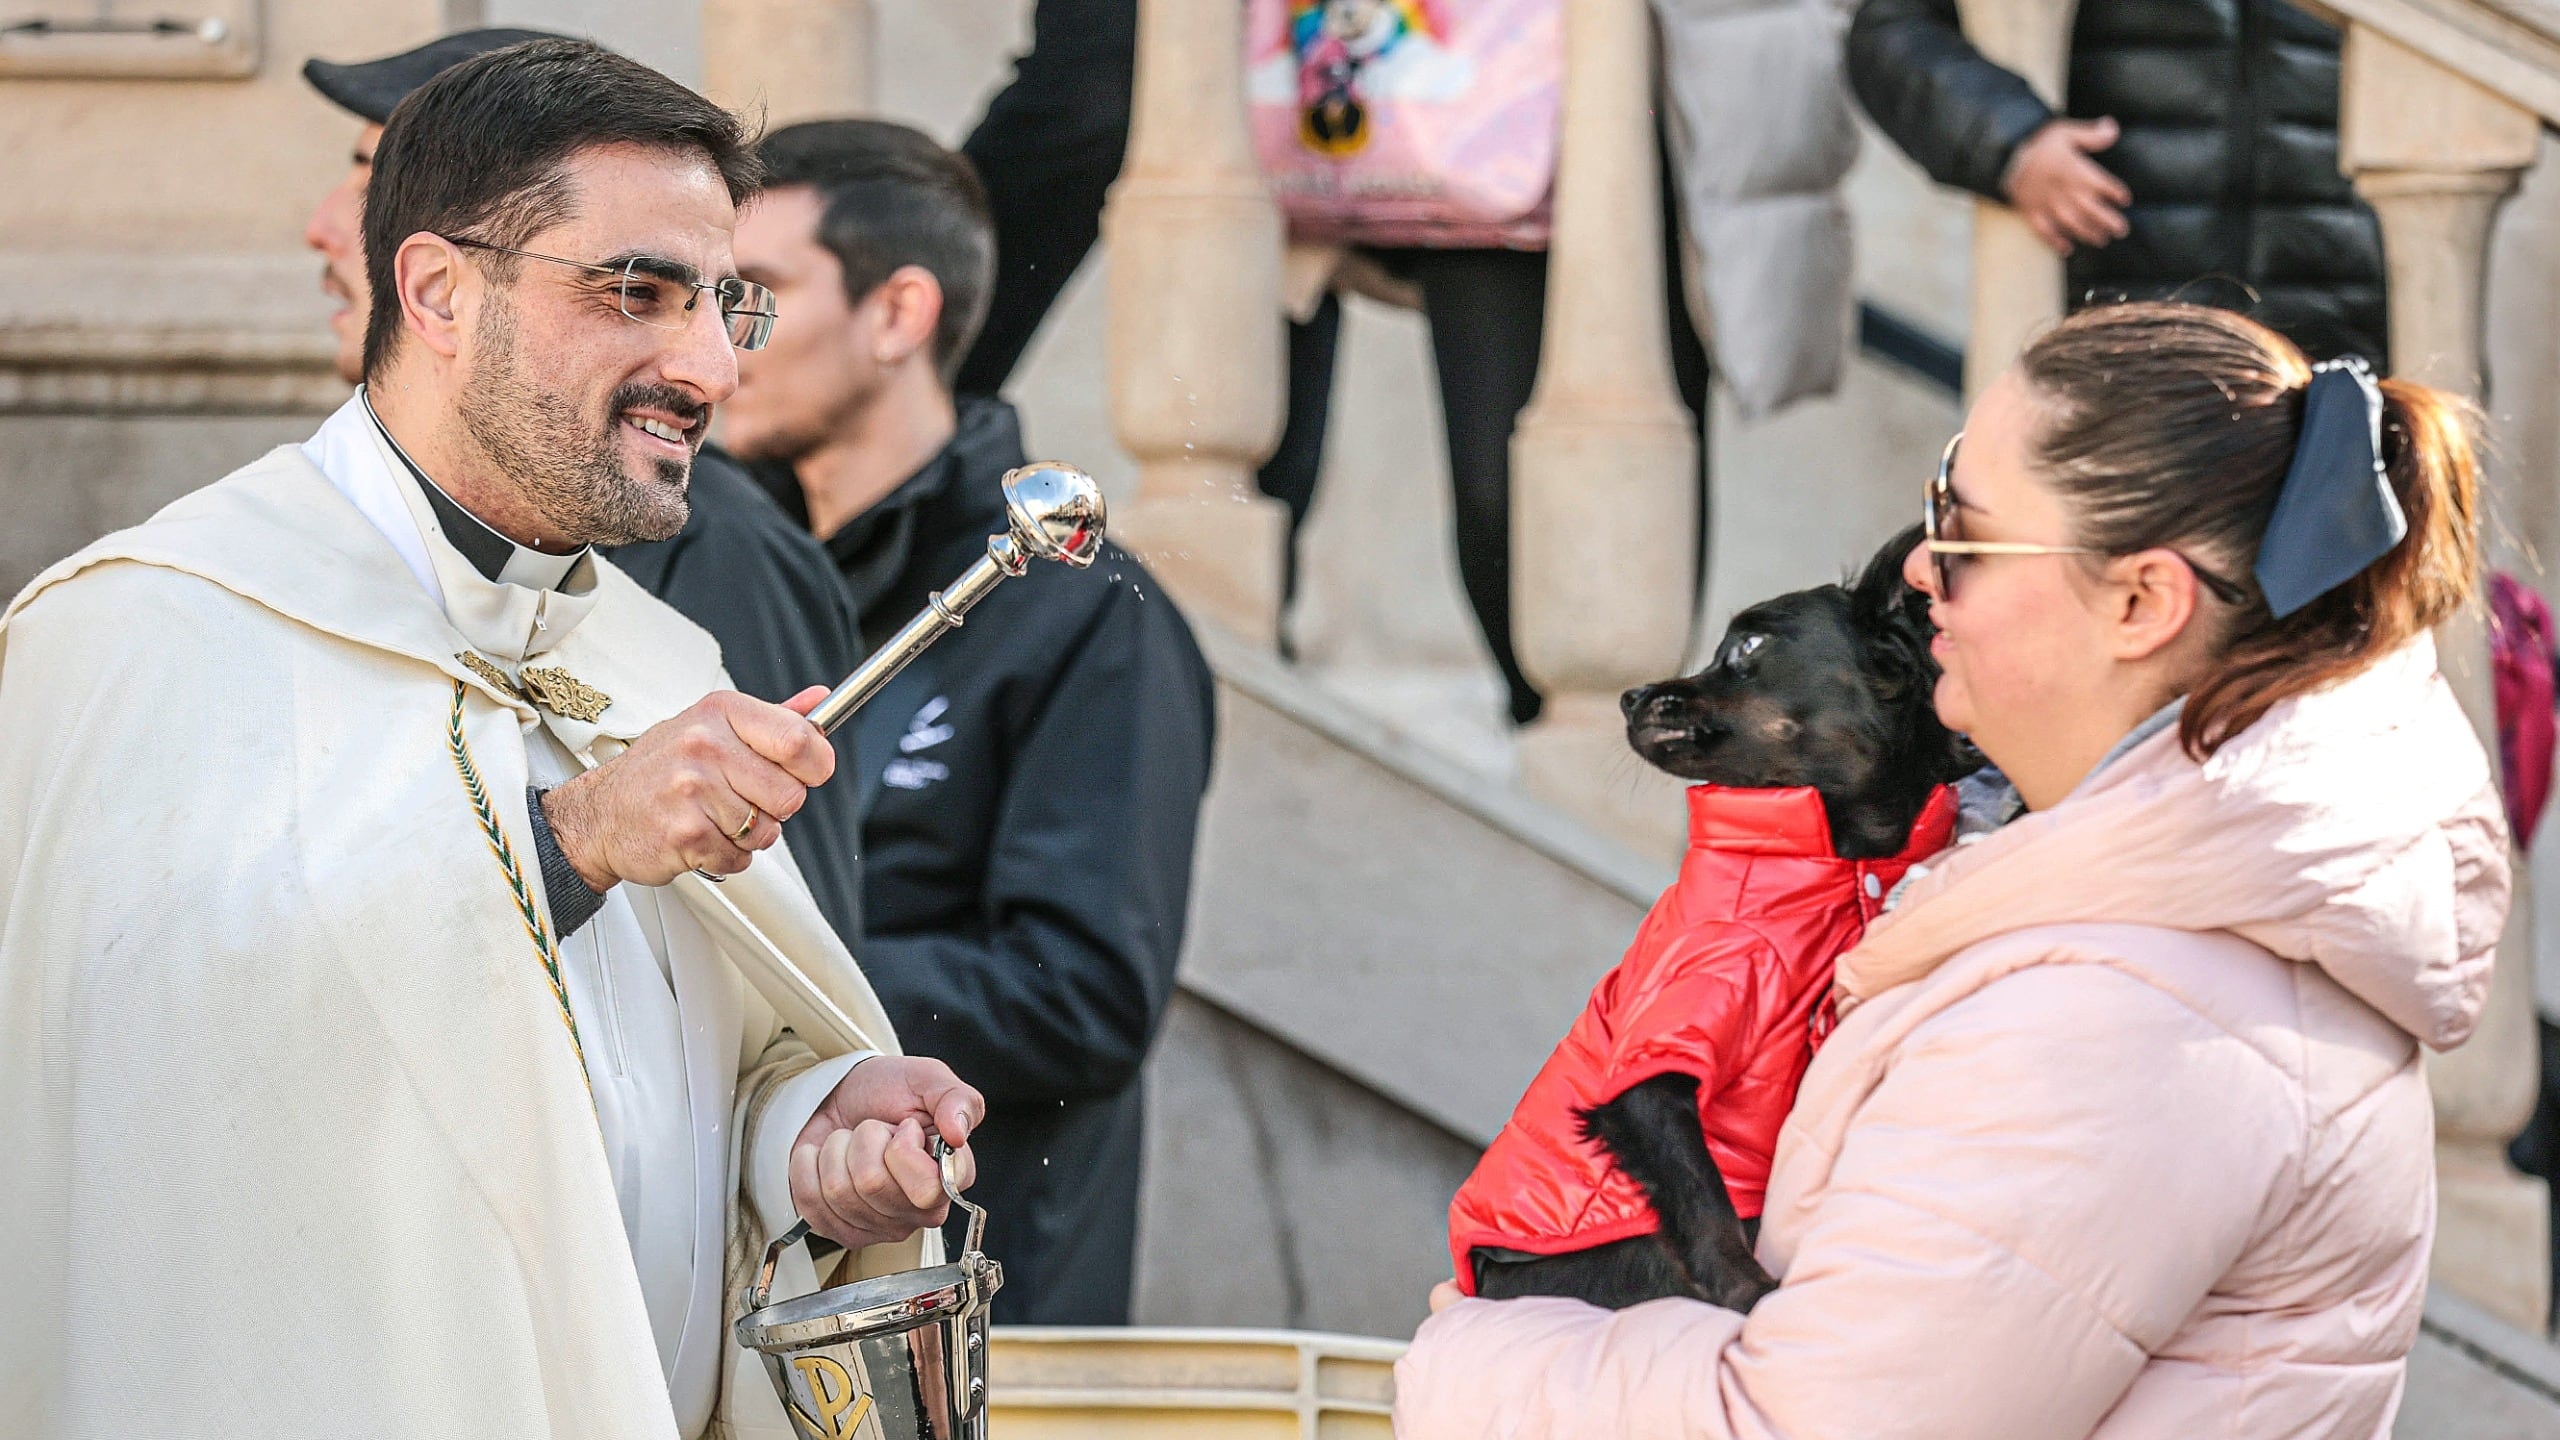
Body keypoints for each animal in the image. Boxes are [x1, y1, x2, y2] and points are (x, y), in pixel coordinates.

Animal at [1464, 520, 1976, 1306]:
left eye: (1747, 647)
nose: (1630, 695)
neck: (1833, 866)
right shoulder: (1645, 1073)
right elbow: (1701, 1197)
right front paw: (1748, 1295)